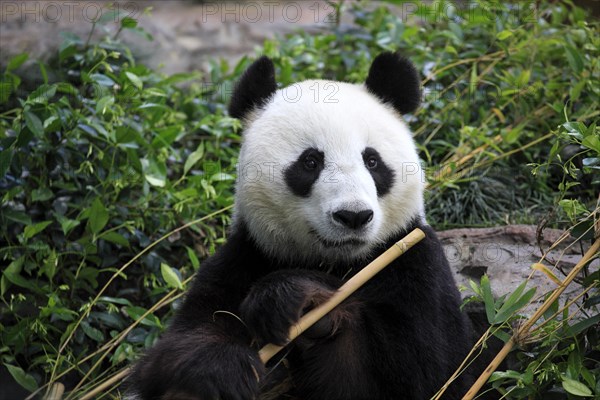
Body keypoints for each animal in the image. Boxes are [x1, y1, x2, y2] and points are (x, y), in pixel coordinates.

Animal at [129, 51, 480, 398]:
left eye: (372, 161)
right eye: (310, 162)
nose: (353, 215)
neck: (336, 262)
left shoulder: (414, 259)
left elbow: (425, 371)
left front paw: (300, 301)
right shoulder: (247, 255)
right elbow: (172, 352)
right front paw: (225, 368)